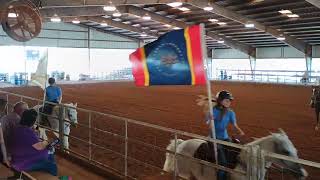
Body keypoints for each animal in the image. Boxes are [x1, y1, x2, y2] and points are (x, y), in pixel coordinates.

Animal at [164, 129, 308, 180]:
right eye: (286, 152)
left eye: (296, 151)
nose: (302, 173)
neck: (247, 163)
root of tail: (180, 145)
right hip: (184, 174)